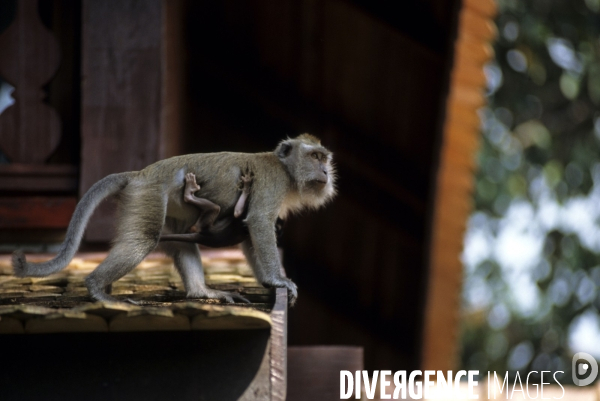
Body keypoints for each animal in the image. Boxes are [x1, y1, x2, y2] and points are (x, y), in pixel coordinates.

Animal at [11, 134, 336, 304]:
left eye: (325, 158)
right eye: (315, 157)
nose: (325, 171)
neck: (286, 171)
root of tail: (140, 174)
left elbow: (249, 235)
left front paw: (269, 282)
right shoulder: (273, 183)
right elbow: (258, 222)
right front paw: (277, 280)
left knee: (181, 243)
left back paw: (201, 291)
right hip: (149, 196)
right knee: (143, 240)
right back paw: (98, 290)